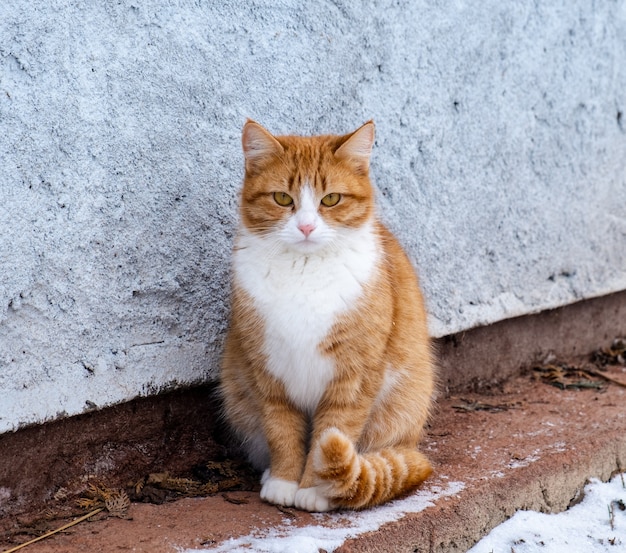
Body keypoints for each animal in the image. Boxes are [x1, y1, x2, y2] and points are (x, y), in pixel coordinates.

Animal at [221, 118, 434, 512]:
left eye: (331, 199)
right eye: (283, 198)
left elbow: (330, 432)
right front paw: (284, 480)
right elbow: (282, 431)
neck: (304, 272)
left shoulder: (353, 376)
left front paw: (314, 489)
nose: (306, 227)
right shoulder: (269, 372)